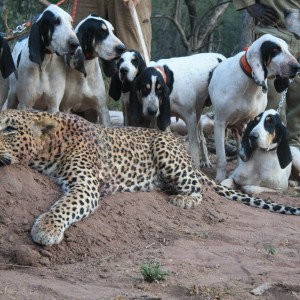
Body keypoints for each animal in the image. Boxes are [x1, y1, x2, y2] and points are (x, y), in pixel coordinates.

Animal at [0, 109, 298, 245]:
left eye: (9, 129)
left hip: (167, 153)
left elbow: (64, 206)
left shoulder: (85, 186)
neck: (49, 147)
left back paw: (182, 200)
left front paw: (47, 228)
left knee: (199, 188)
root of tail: (181, 147)